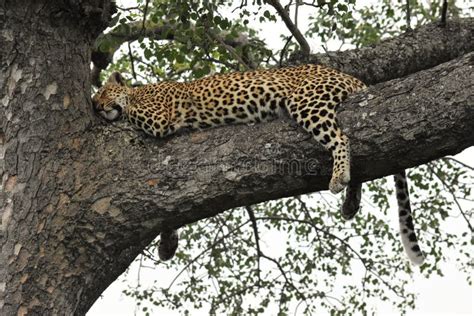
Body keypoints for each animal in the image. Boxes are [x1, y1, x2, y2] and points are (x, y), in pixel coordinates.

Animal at [92, 64, 426, 264]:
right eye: (96, 101)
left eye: (103, 93)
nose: (96, 108)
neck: (140, 91)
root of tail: (353, 78)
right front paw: (167, 244)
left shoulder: (159, 118)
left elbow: (130, 114)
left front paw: (119, 111)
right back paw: (350, 202)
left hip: (306, 102)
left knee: (341, 138)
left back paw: (339, 177)